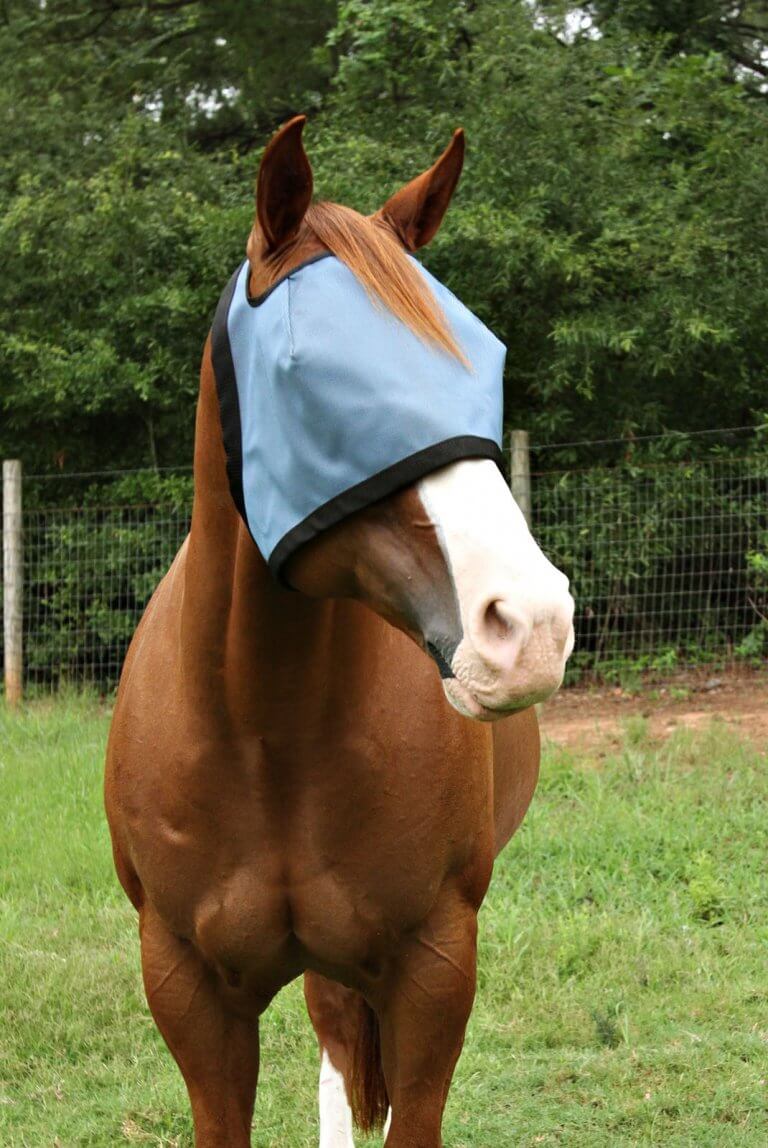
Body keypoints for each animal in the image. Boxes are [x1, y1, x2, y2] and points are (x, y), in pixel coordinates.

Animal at [105, 116, 574, 1148]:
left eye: (483, 356)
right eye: (306, 371)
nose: (531, 623)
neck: (264, 727)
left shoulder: (434, 970)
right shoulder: (188, 990)